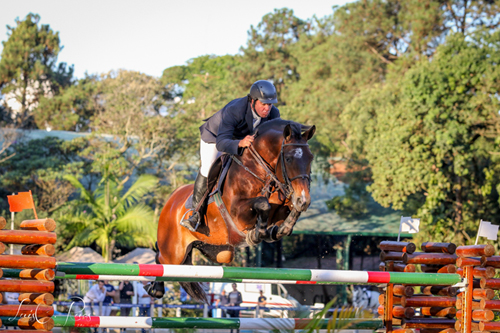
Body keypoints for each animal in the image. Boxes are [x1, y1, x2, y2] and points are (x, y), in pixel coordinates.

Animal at [146, 119, 314, 300]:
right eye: (288, 159)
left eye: (311, 158)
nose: (304, 200)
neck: (257, 170)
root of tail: (170, 201)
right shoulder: (238, 214)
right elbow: (263, 204)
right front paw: (258, 233)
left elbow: (287, 210)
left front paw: (281, 228)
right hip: (173, 252)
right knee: (160, 258)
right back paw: (156, 288)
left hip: (219, 252)